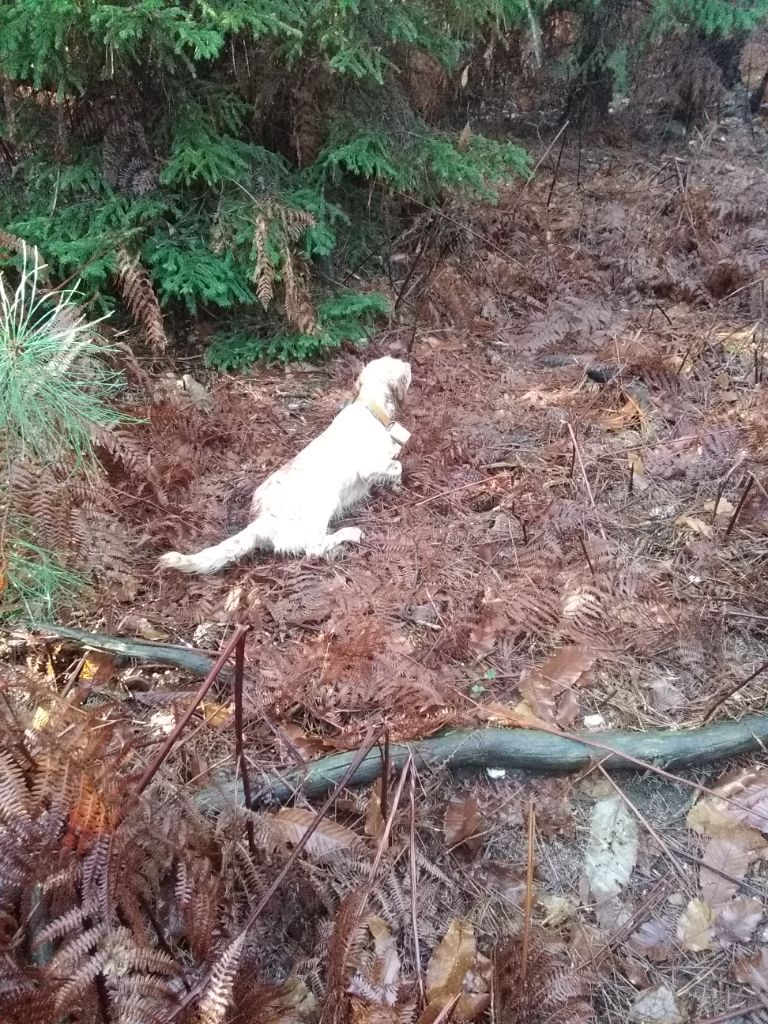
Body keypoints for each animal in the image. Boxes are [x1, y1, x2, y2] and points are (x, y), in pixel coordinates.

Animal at [157, 356, 415, 573]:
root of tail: (263, 521)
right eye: (400, 364)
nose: (409, 362)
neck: (370, 407)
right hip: (326, 502)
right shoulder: (369, 466)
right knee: (314, 549)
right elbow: (397, 466)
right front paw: (397, 483)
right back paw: (348, 534)